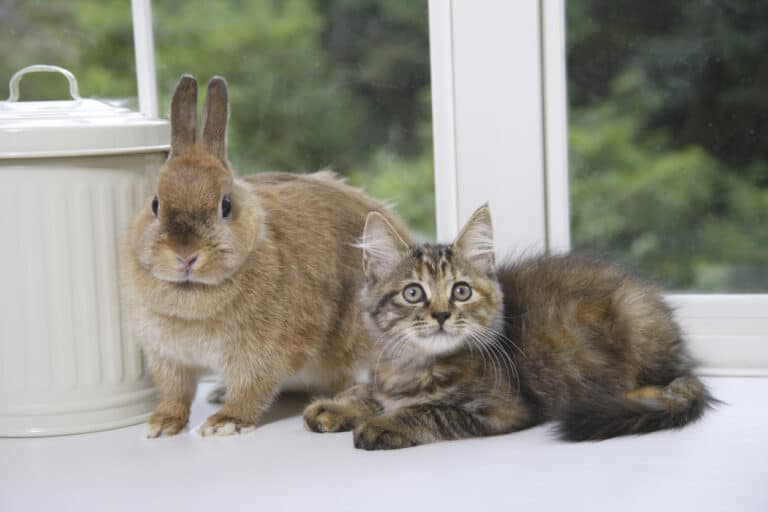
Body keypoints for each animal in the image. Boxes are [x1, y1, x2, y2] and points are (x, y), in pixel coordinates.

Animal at [120, 74, 406, 438]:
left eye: (226, 205)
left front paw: (225, 423)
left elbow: (251, 389)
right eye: (155, 204)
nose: (185, 256)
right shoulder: (169, 358)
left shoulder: (262, 355)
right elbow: (175, 392)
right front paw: (162, 424)